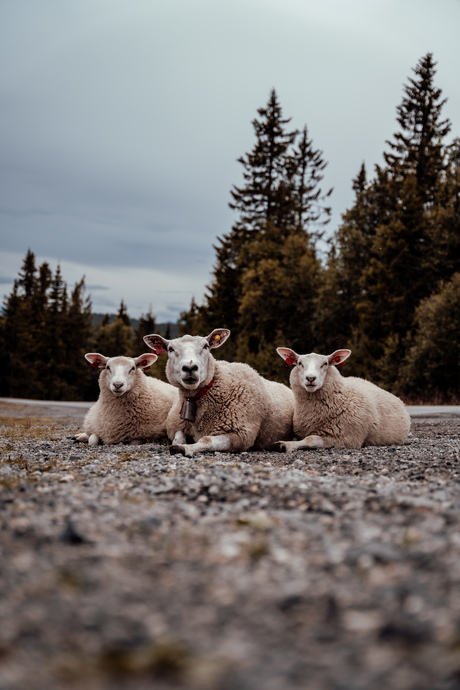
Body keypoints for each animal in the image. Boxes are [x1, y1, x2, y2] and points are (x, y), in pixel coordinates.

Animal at [143, 328, 294, 456]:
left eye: (206, 346)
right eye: (170, 349)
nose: (190, 368)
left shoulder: (240, 435)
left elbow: (206, 440)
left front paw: (185, 448)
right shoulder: (176, 426)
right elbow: (178, 437)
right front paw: (179, 444)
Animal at [274, 344, 412, 452]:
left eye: (325, 363)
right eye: (299, 363)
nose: (311, 378)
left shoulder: (345, 438)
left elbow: (311, 439)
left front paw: (285, 445)